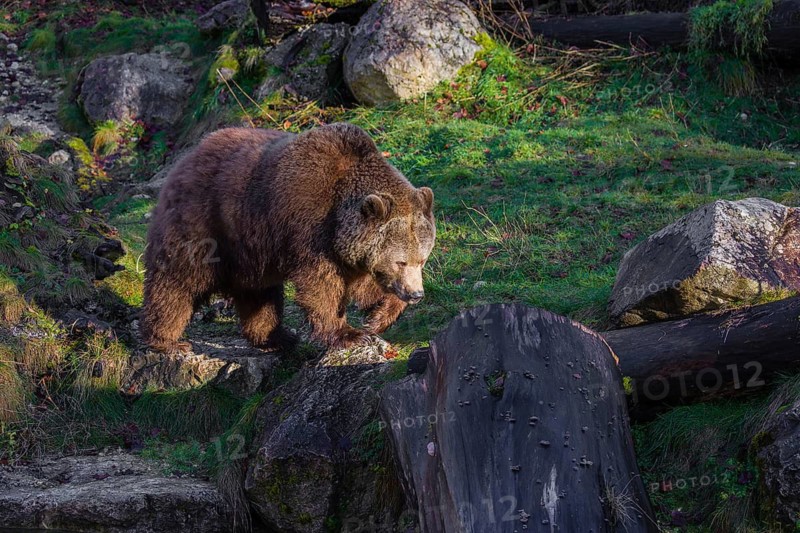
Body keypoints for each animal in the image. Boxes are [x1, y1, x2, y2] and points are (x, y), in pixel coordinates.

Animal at [142, 123, 435, 354]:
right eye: (401, 262)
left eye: (421, 260)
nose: (416, 294)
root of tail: (187, 158)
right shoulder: (310, 229)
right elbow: (321, 286)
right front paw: (348, 334)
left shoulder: (351, 252)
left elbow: (367, 286)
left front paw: (378, 317)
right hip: (205, 224)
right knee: (177, 280)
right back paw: (167, 340)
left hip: (249, 250)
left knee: (259, 295)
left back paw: (276, 337)